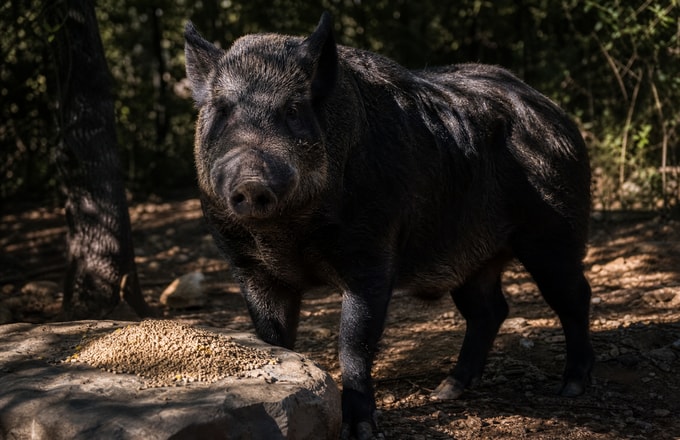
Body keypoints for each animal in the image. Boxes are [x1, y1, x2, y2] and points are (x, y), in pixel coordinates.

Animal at [184, 12, 594, 440]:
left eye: (293, 110)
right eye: (222, 111)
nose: (251, 182)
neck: (287, 237)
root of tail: (553, 111)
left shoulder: (372, 255)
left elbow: (354, 344)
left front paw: (361, 430)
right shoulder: (249, 268)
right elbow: (272, 338)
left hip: (554, 230)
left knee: (574, 296)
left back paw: (571, 387)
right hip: (470, 256)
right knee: (490, 309)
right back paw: (446, 391)